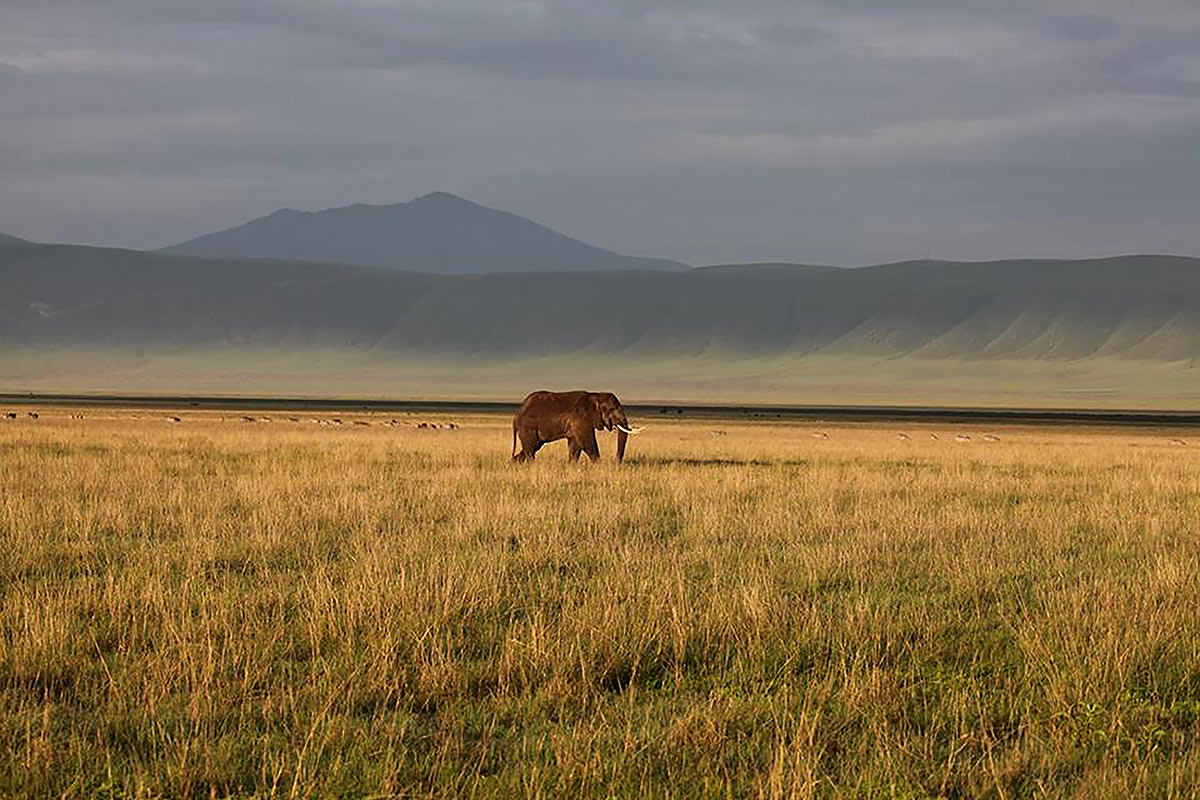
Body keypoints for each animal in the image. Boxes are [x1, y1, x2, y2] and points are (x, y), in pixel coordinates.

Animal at [511, 390, 643, 463]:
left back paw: (513, 463)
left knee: (532, 448)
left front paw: (571, 465)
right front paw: (598, 464)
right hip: (528, 427)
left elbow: (575, 444)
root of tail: (516, 417)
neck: (595, 395)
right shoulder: (580, 419)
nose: (616, 462)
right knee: (531, 449)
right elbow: (587, 441)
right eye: (613, 409)